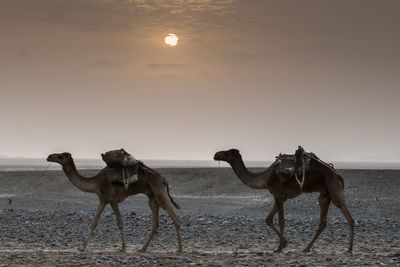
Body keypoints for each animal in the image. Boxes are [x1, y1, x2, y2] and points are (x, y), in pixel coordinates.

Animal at [47, 153, 183, 253]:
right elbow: (94, 222)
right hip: (153, 199)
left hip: (160, 194)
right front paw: (82, 247)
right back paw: (142, 248)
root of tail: (163, 179)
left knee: (176, 220)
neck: (96, 182)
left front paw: (123, 248)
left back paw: (180, 249)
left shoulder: (112, 200)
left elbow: (120, 223)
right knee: (155, 224)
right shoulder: (103, 200)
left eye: (60, 156)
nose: (49, 156)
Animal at [214, 150, 354, 254]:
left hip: (334, 189)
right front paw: (285, 243)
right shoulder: (281, 197)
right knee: (323, 222)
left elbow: (281, 220)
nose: (216, 155)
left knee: (349, 217)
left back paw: (349, 249)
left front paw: (279, 248)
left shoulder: (277, 193)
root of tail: (337, 174)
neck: (264, 178)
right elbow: (268, 219)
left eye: (226, 153)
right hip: (325, 195)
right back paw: (307, 248)